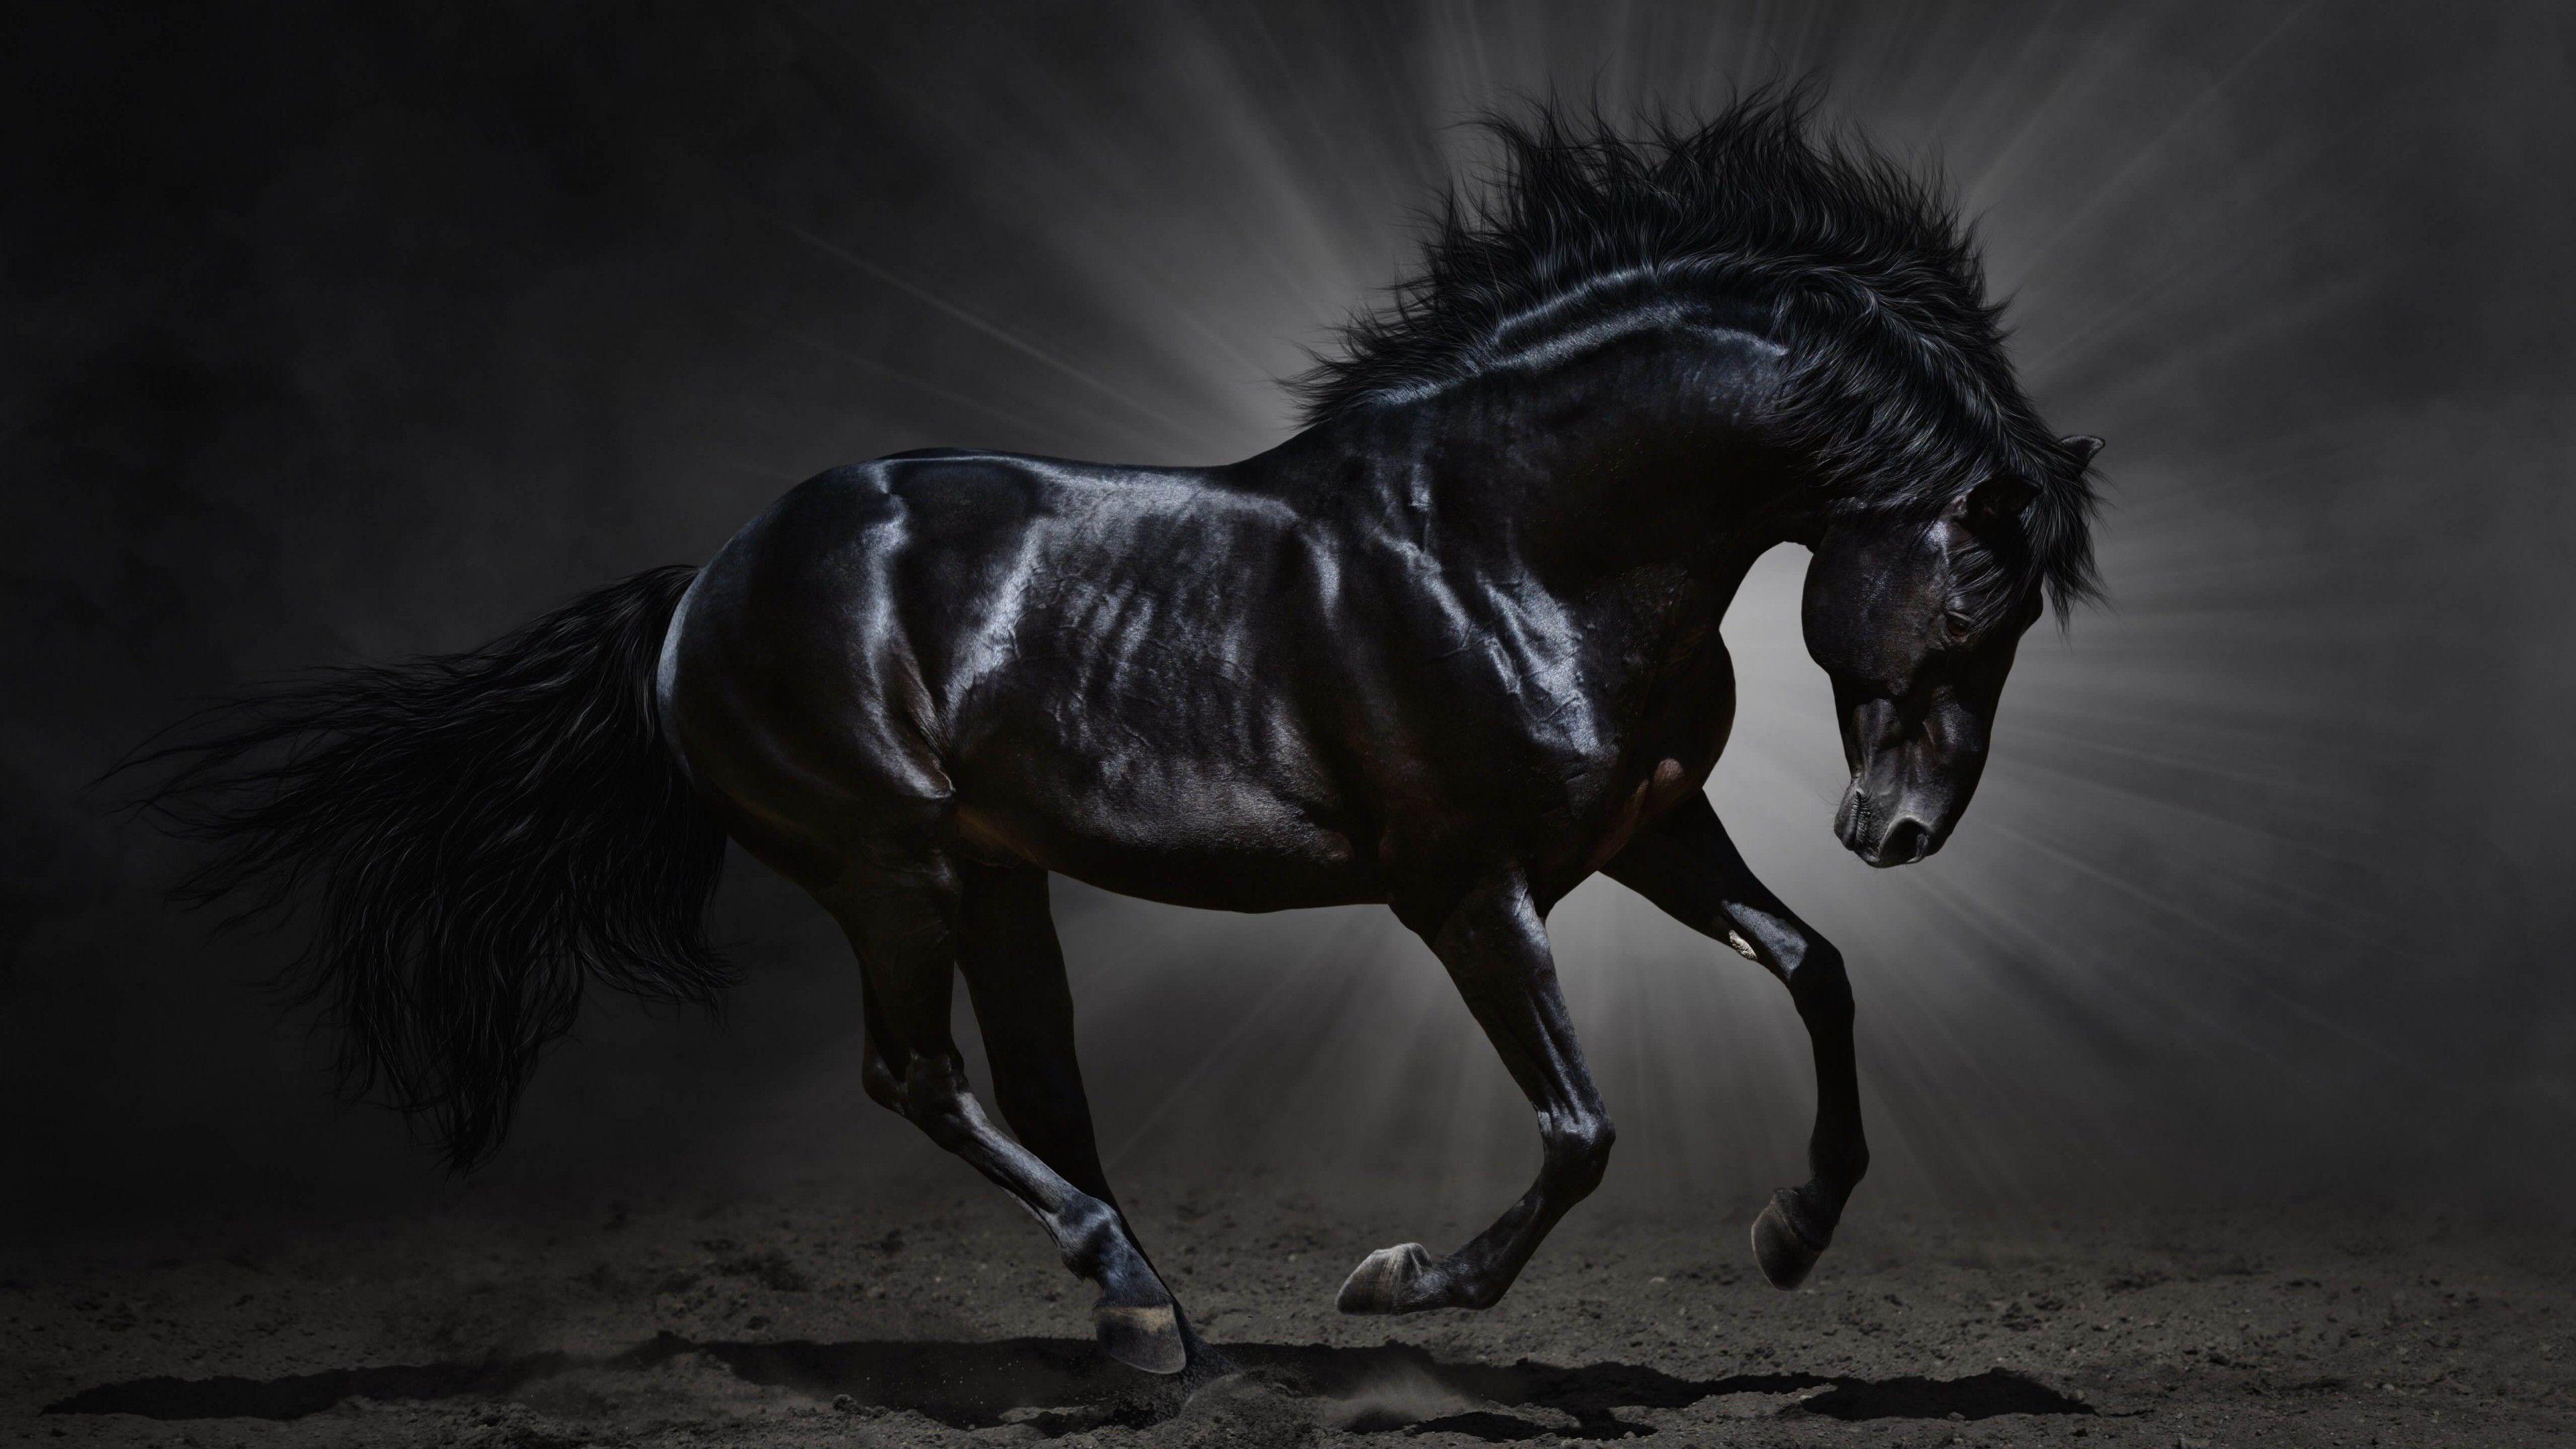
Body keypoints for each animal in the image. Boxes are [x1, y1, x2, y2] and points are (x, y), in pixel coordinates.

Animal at [132, 93, 2101, 1377]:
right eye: (1974, 601)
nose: (1897, 830)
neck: (1507, 541)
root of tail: (703, 586)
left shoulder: (1646, 832)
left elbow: (1817, 970)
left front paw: (1792, 1232)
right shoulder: (1467, 890)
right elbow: (1579, 1127)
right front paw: (1397, 1285)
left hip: (993, 876)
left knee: (1038, 1086)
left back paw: (1151, 1316)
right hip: (890, 867)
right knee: (918, 1077)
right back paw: (1139, 1305)